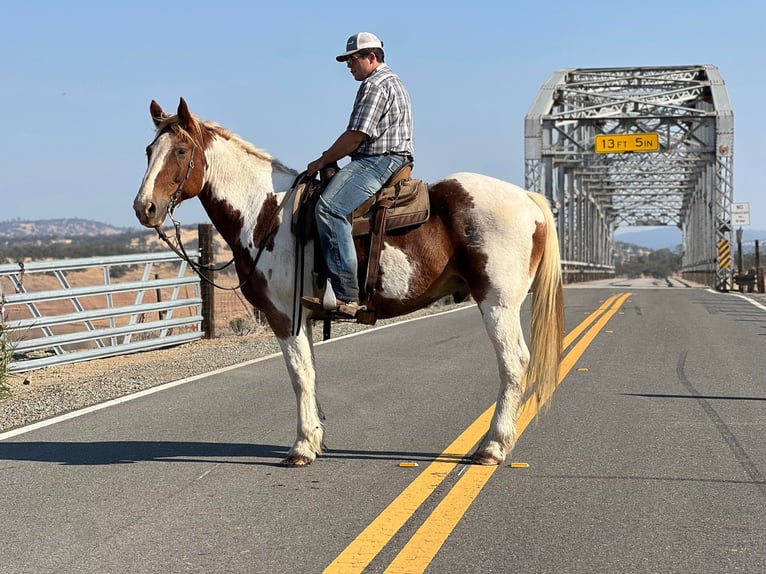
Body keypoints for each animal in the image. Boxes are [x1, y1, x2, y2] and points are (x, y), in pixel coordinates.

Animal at [134, 99, 564, 468]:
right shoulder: (302, 318)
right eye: (149, 149)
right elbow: (310, 373)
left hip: (497, 303)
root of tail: (527, 198)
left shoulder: (283, 315)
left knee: (513, 363)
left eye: (181, 152)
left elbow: (299, 376)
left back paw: (492, 447)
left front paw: (301, 447)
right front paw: (315, 439)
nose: (144, 208)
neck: (267, 214)